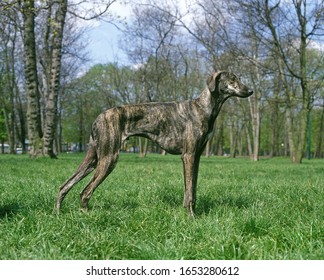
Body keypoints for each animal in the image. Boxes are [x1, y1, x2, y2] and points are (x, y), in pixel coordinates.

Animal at [55, 71, 253, 215]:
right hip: (108, 159)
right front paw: (191, 217)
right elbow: (189, 191)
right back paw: (86, 215)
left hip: (93, 159)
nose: (250, 91)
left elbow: (192, 189)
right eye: (232, 79)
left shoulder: (196, 157)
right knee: (85, 191)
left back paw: (58, 212)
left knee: (65, 185)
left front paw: (192, 213)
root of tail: (98, 118)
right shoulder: (188, 156)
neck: (203, 108)